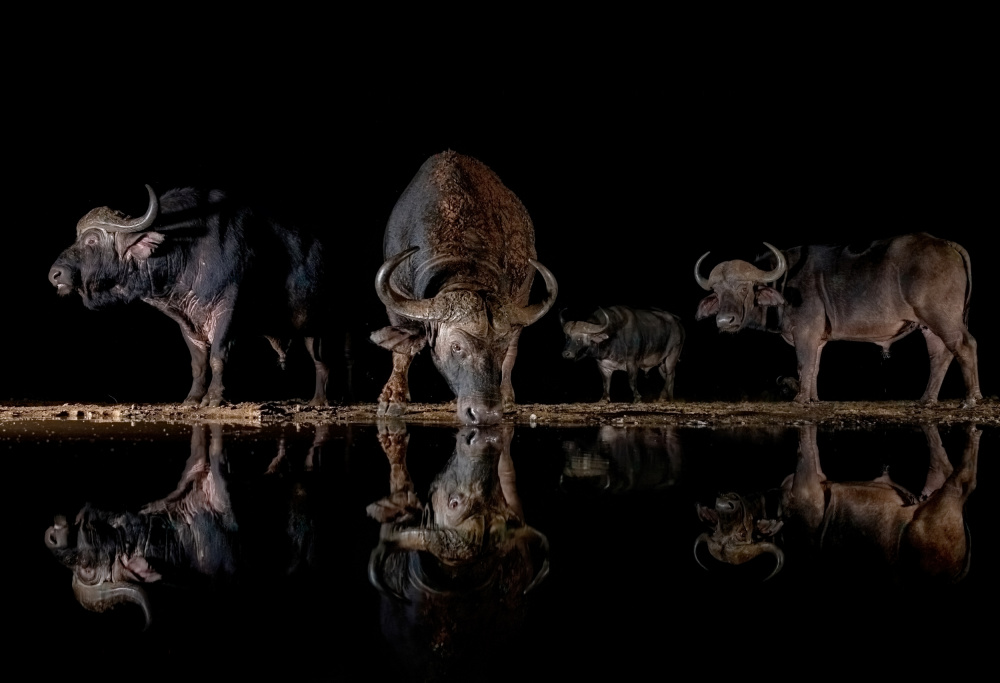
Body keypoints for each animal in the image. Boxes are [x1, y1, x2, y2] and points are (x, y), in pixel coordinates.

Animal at [48, 185, 336, 406]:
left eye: (91, 241)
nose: (55, 274)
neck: (187, 253)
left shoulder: (228, 311)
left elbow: (218, 356)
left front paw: (215, 397)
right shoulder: (186, 320)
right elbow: (198, 363)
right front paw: (193, 398)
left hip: (319, 328)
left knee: (322, 362)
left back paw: (319, 400)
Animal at [372, 151, 558, 424]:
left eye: (499, 346)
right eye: (456, 347)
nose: (485, 413)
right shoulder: (397, 297)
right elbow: (401, 352)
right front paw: (393, 398)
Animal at [694, 234, 981, 406]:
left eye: (744, 288)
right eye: (717, 292)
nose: (724, 320)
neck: (784, 283)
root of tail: (945, 243)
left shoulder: (805, 333)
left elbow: (803, 365)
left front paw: (800, 399)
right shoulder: (818, 340)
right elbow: (814, 367)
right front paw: (813, 399)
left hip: (942, 317)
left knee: (965, 345)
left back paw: (971, 398)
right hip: (928, 325)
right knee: (940, 354)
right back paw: (927, 399)